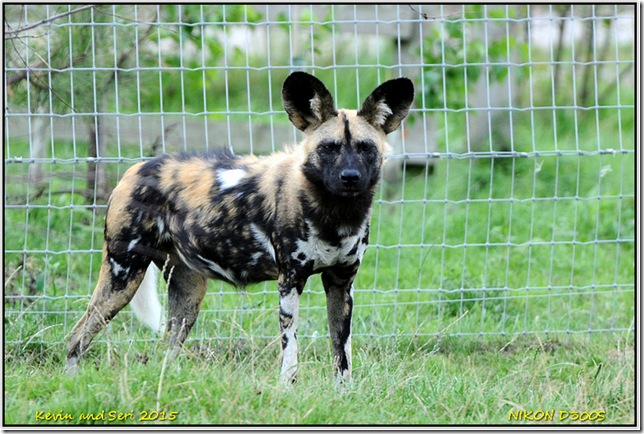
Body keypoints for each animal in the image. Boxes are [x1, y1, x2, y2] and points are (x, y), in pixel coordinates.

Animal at [66, 71, 412, 384]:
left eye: (366, 148)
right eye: (329, 148)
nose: (350, 177)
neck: (336, 214)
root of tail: (134, 169)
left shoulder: (341, 283)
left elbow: (342, 353)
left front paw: (342, 394)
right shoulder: (290, 282)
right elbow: (290, 350)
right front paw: (287, 389)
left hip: (188, 293)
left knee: (166, 348)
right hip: (122, 276)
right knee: (77, 336)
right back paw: (71, 382)